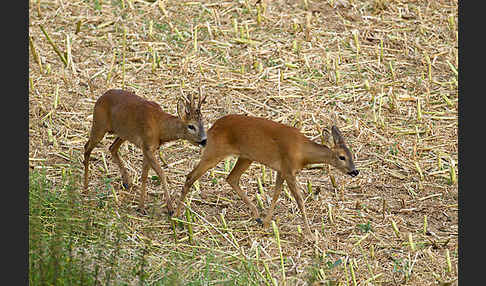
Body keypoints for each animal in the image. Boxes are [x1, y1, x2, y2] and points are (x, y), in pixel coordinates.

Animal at [175, 113, 356, 239]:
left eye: (352, 154)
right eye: (342, 157)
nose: (355, 171)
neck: (302, 153)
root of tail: (212, 127)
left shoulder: (281, 170)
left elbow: (275, 195)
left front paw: (267, 222)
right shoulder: (288, 169)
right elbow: (299, 200)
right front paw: (311, 235)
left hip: (246, 156)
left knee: (231, 178)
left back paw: (256, 215)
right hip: (215, 152)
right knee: (190, 176)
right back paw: (176, 216)